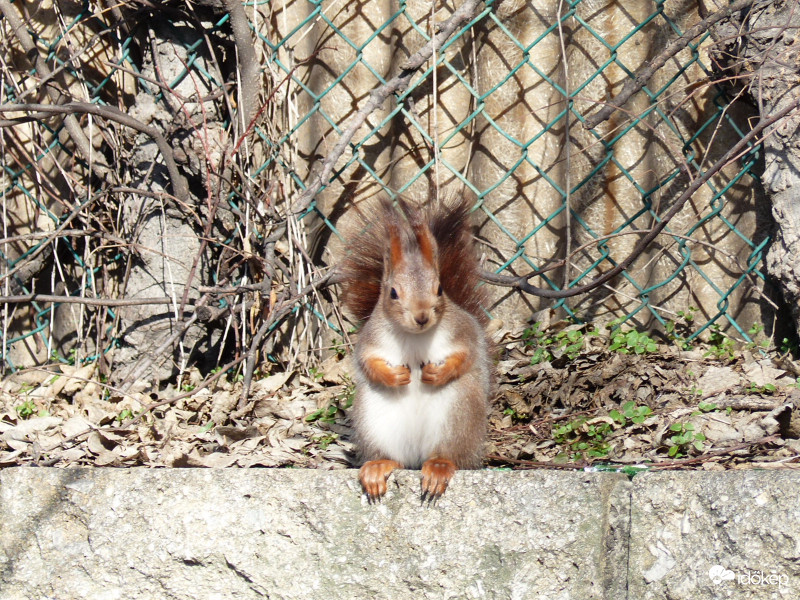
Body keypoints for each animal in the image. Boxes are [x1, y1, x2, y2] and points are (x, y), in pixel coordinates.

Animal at [336, 197, 490, 502]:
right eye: (393, 293)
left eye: (440, 289)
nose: (421, 317)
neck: (415, 337)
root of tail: (419, 455)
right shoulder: (370, 339)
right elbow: (367, 362)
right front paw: (394, 376)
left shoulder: (464, 330)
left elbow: (468, 354)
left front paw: (437, 373)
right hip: (374, 421)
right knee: (395, 458)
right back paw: (379, 466)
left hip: (459, 415)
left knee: (449, 455)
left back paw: (440, 466)